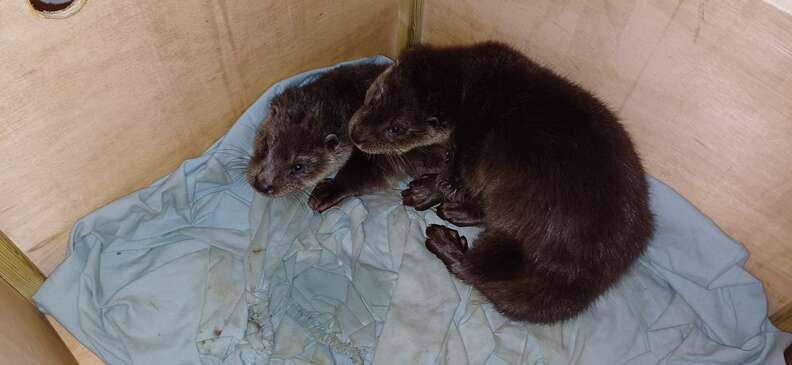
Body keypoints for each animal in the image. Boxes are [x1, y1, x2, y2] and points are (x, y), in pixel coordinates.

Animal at [246, 62, 446, 210]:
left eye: (298, 166)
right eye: (265, 145)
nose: (262, 184)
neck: (348, 101)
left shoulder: (376, 155)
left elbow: (362, 176)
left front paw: (327, 191)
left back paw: (422, 193)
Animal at [350, 41, 652, 322]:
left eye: (396, 129)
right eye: (374, 98)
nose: (356, 135)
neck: (470, 90)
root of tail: (590, 273)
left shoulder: (468, 146)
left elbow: (452, 179)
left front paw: (427, 191)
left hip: (525, 213)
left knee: (478, 270)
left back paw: (447, 239)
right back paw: (456, 214)